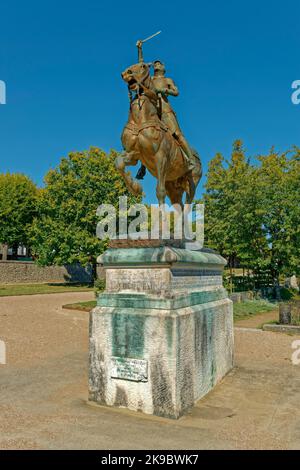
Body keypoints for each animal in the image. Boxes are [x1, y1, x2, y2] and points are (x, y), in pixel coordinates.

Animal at [115, 60, 202, 206]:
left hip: (191, 183)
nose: (126, 73)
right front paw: (136, 188)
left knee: (187, 204)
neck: (140, 120)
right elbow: (119, 163)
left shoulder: (161, 158)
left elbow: (159, 191)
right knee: (178, 205)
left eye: (143, 66)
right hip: (173, 185)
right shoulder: (134, 154)